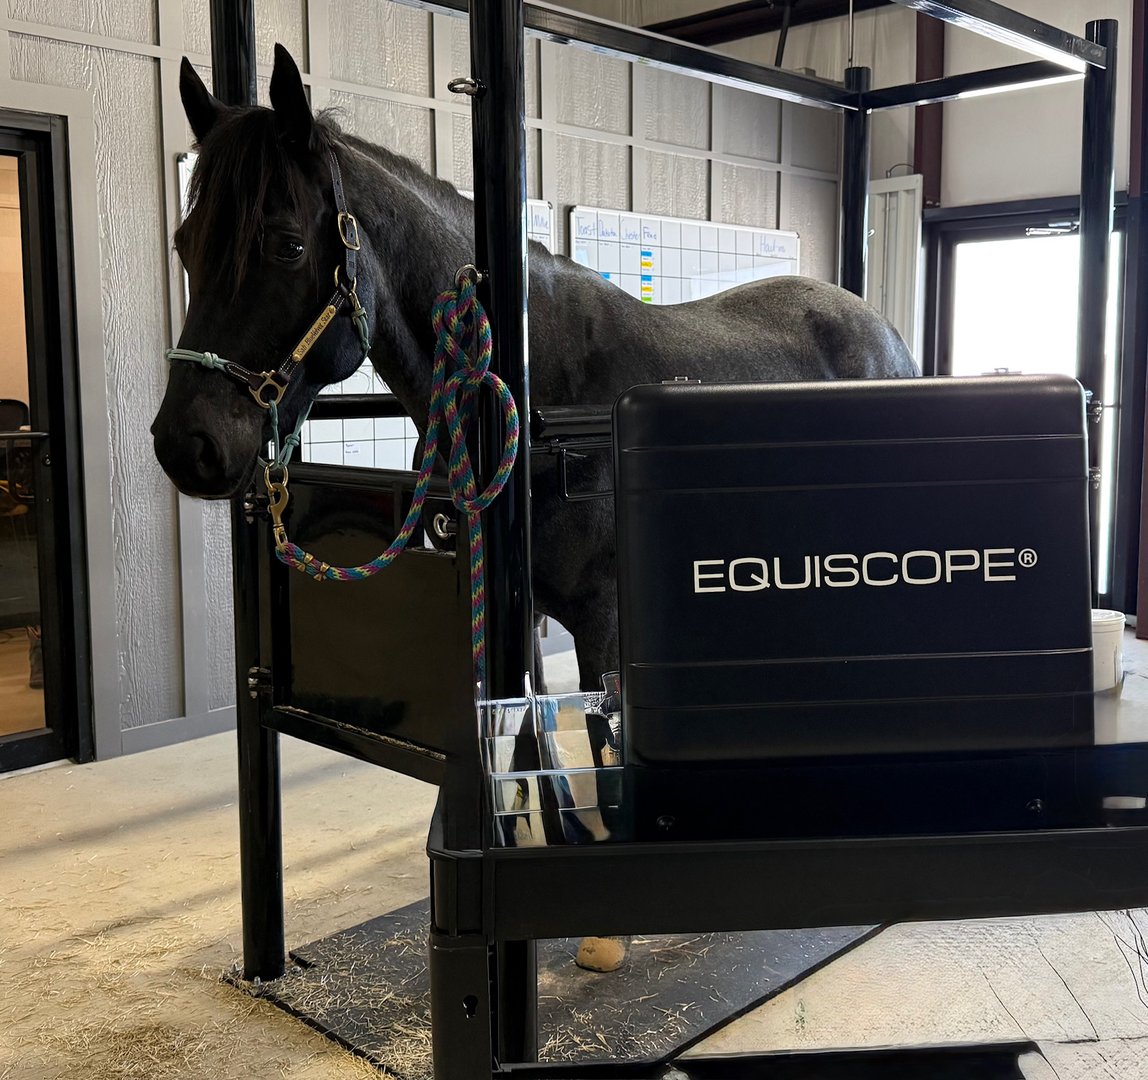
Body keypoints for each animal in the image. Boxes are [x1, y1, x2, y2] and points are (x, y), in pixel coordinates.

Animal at [152, 44, 917, 709]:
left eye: (286, 246)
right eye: (184, 245)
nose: (184, 444)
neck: (546, 390)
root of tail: (884, 334)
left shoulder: (606, 631)